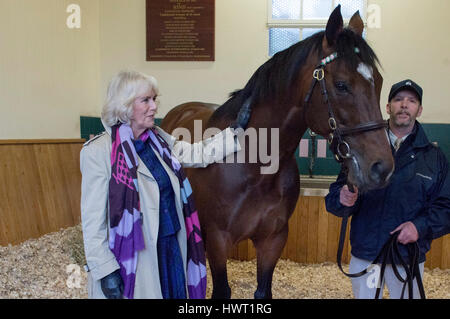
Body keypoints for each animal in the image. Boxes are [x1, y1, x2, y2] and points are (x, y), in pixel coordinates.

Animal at [162, 5, 394, 300]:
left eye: (379, 81)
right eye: (342, 85)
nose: (382, 167)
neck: (253, 166)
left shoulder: (273, 240)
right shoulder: (217, 240)